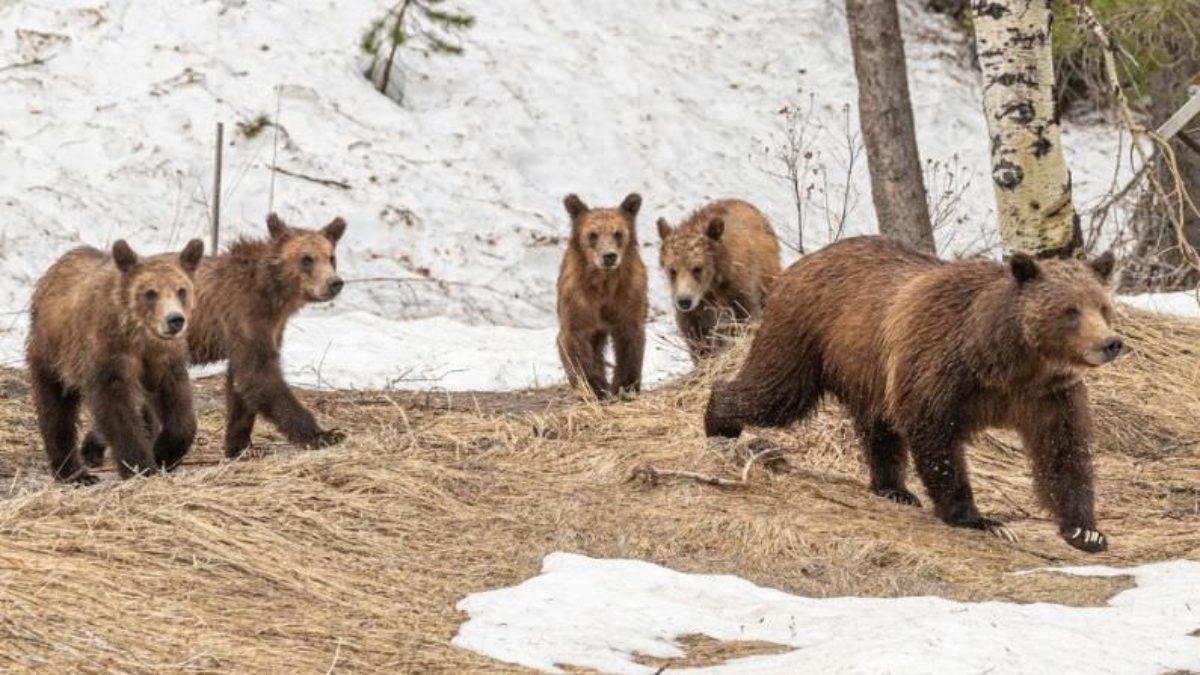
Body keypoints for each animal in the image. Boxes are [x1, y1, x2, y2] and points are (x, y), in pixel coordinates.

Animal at [27, 238, 205, 484]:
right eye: (150, 293)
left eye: (181, 290)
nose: (175, 320)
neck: (139, 335)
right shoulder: (109, 355)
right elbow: (117, 409)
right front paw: (141, 466)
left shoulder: (163, 359)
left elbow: (178, 406)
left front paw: (163, 453)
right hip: (52, 352)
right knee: (55, 410)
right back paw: (73, 472)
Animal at [83, 213, 348, 460]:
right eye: (307, 259)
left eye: (331, 257)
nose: (334, 283)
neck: (274, 292)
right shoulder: (244, 316)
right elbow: (259, 375)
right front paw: (325, 434)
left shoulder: (269, 327)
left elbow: (240, 383)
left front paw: (241, 446)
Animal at [556, 192, 648, 399]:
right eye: (593, 234)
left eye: (618, 233)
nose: (609, 256)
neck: (604, 284)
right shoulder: (579, 301)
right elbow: (576, 340)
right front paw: (595, 387)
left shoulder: (627, 299)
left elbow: (629, 340)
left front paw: (625, 386)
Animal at [656, 199, 781, 361]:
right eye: (672, 270)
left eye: (697, 268)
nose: (684, 301)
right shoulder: (696, 310)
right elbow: (697, 337)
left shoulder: (737, 291)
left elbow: (745, 319)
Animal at [704, 236, 1124, 553]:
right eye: (1070, 311)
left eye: (1103, 307)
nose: (1110, 343)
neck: (1006, 362)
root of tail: (798, 264)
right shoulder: (943, 368)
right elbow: (935, 434)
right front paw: (978, 517)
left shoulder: (1049, 395)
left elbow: (1063, 452)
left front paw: (1086, 530)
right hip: (805, 337)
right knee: (775, 392)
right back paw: (718, 420)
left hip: (870, 372)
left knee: (879, 428)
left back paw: (894, 489)